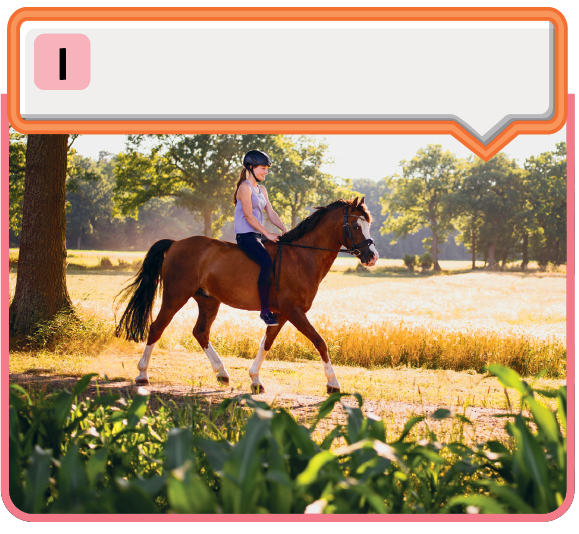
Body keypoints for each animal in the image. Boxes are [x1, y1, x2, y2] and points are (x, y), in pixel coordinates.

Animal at [116, 197, 380, 394]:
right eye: (356, 226)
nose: (372, 257)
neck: (301, 257)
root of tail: (175, 243)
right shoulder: (294, 311)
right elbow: (320, 342)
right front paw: (333, 383)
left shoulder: (281, 314)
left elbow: (267, 343)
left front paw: (255, 380)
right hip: (175, 296)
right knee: (156, 328)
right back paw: (142, 375)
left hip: (208, 301)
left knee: (200, 332)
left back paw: (222, 374)